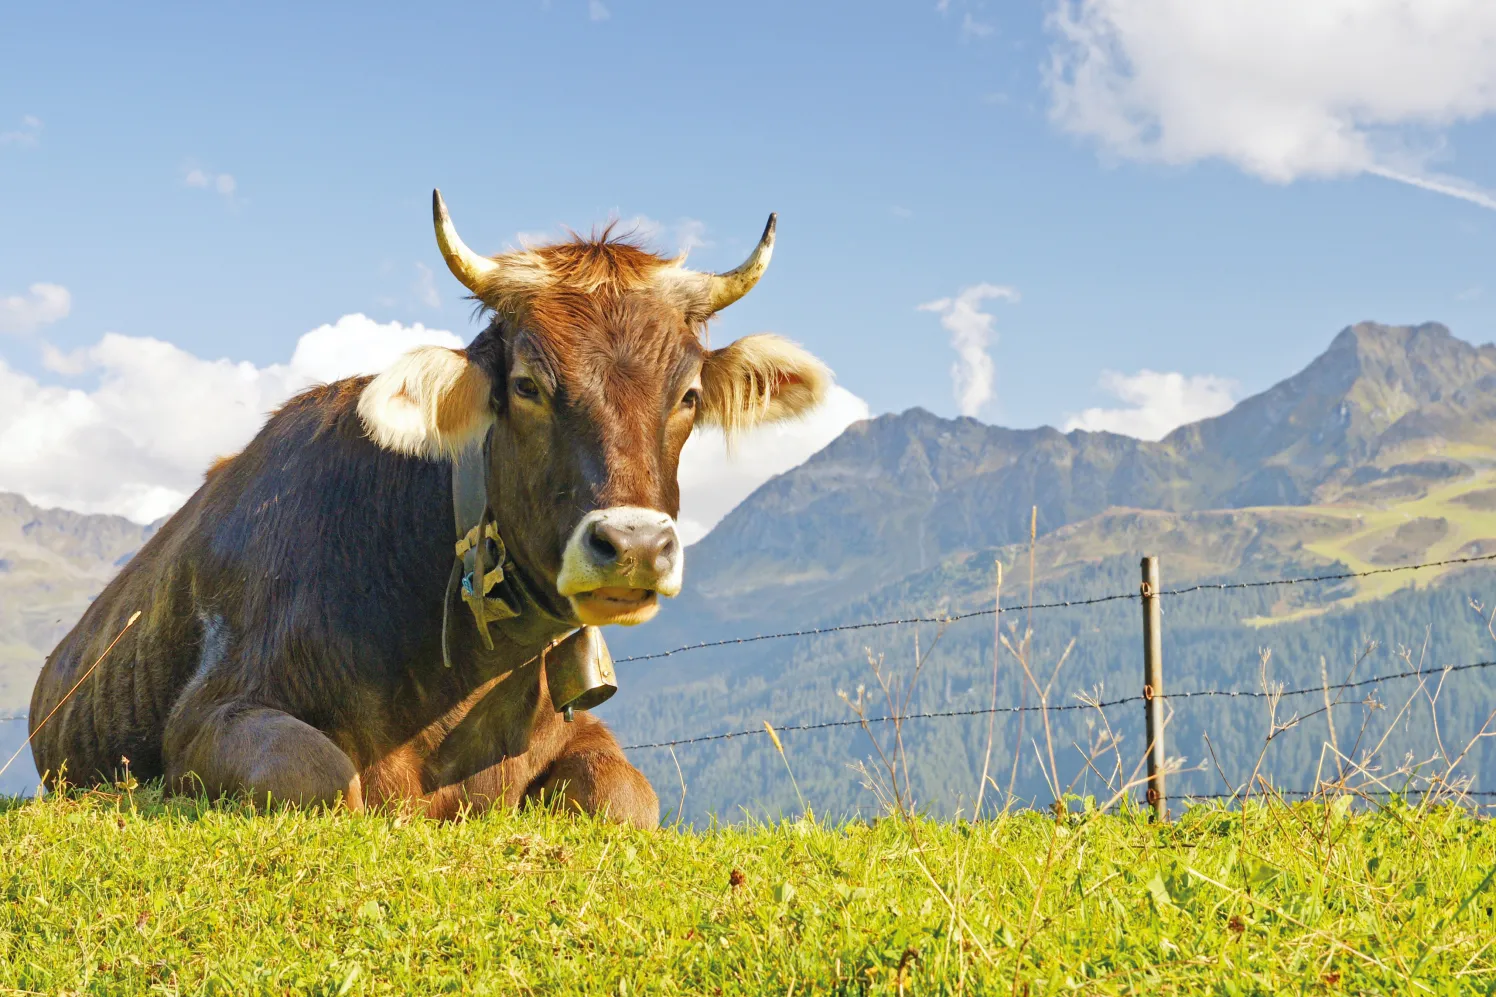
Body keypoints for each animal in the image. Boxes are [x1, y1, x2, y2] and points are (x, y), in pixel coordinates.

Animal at [28, 191, 831, 828]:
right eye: (528, 383)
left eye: (688, 394)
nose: (633, 545)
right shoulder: (209, 714)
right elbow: (319, 776)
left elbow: (626, 795)